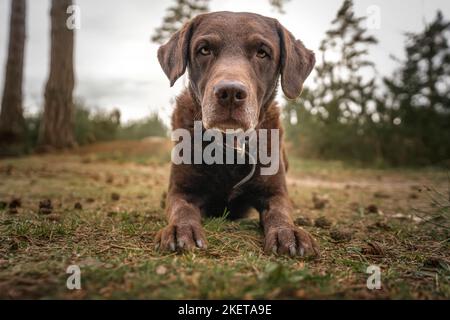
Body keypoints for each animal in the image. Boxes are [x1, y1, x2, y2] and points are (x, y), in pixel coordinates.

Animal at [156, 11, 318, 258]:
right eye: (204, 49)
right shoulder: (182, 190)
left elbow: (280, 211)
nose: (230, 92)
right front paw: (180, 229)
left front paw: (289, 232)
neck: (228, 143)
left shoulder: (275, 192)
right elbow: (181, 209)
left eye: (262, 52)